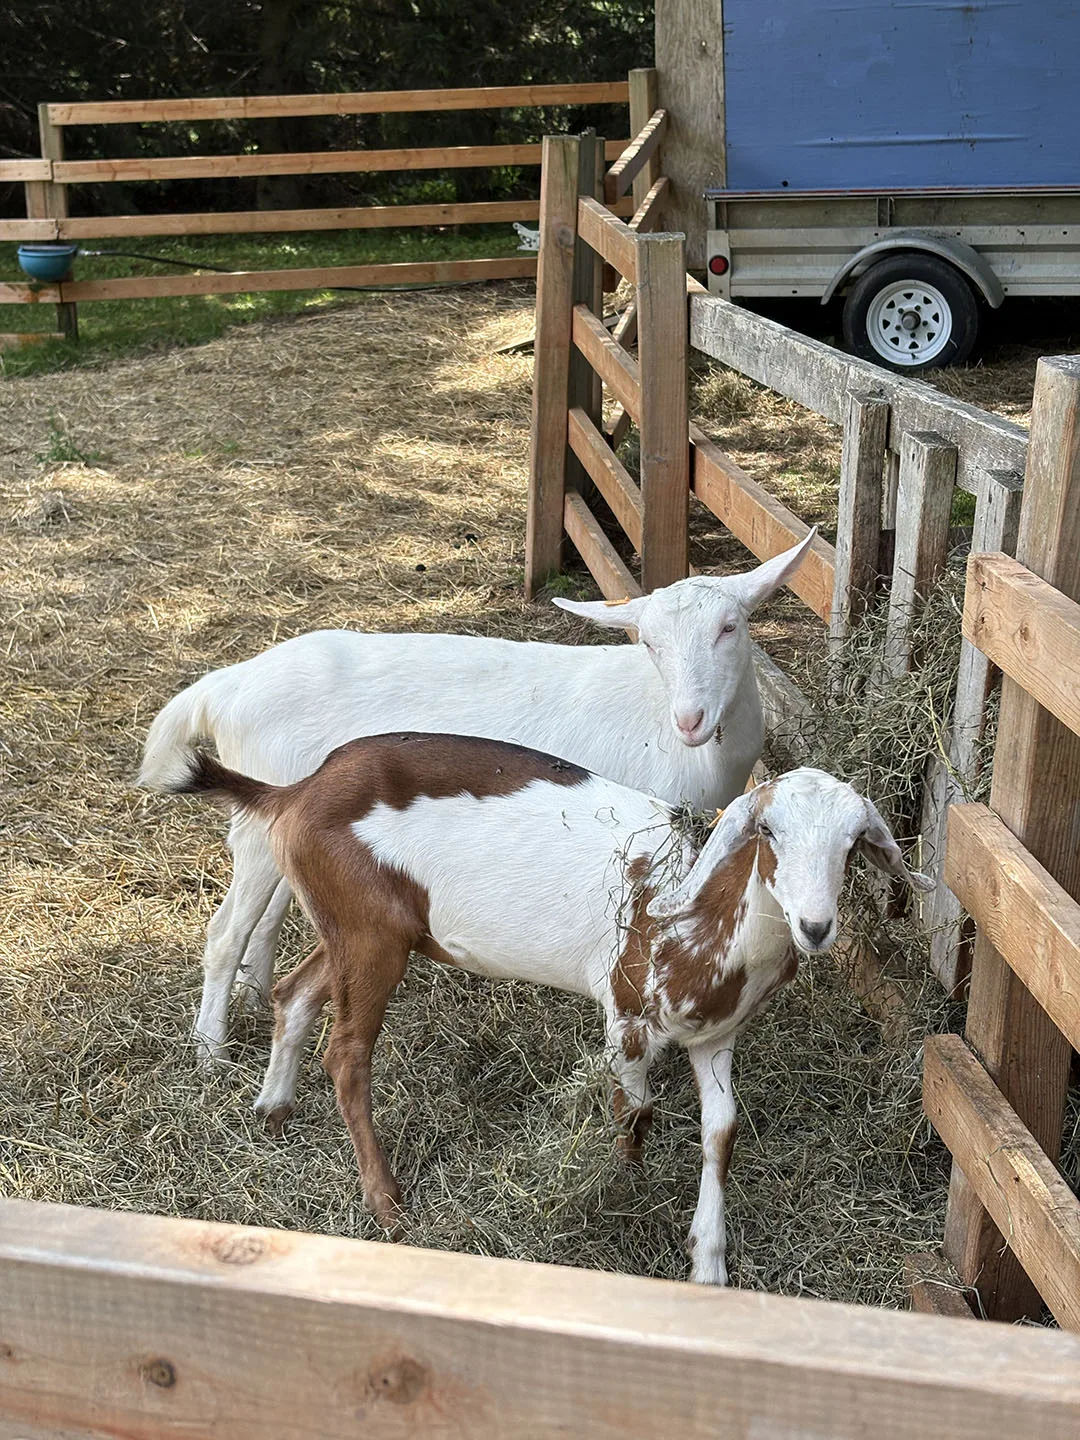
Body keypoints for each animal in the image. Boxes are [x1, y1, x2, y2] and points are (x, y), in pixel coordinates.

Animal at [139, 534, 815, 1066]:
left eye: (731, 627)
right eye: (648, 643)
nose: (691, 719)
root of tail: (228, 685)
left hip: (282, 815)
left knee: (269, 915)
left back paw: (255, 1002)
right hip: (263, 821)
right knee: (225, 931)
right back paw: (211, 1051)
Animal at [171, 734, 930, 1285]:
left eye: (855, 843)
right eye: (768, 831)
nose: (815, 927)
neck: (697, 918)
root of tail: (296, 792)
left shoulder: (717, 1037)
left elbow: (722, 1133)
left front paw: (708, 1264)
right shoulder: (626, 1017)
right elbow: (637, 1111)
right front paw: (623, 1190)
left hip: (363, 930)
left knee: (293, 992)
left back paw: (273, 1110)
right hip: (366, 935)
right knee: (347, 1056)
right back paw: (386, 1204)